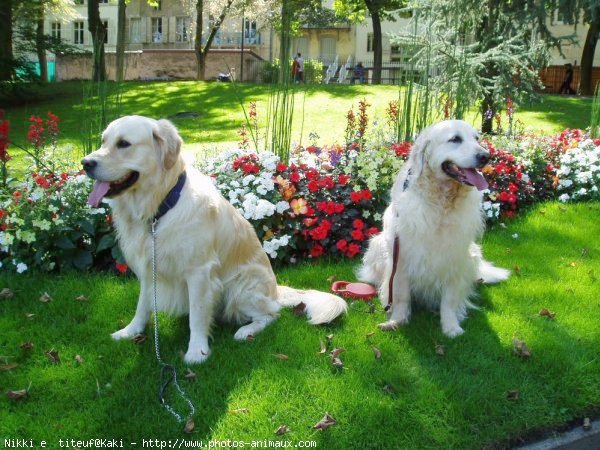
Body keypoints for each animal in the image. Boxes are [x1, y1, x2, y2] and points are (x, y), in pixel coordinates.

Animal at [84, 115, 346, 362]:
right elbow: (143, 305)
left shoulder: (199, 271)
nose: (85, 163)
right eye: (103, 141)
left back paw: (246, 331)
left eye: (123, 144)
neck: (160, 206)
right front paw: (131, 331)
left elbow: (197, 316)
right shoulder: (150, 267)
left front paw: (196, 352)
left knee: (271, 314)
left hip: (242, 285)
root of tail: (275, 291)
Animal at [358, 119, 508, 338]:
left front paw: (451, 326)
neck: (441, 201)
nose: (485, 156)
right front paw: (397, 320)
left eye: (477, 138)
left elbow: (450, 299)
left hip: (472, 253)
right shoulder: (401, 256)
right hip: (377, 244)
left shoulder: (455, 257)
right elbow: (401, 295)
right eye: (455, 139)